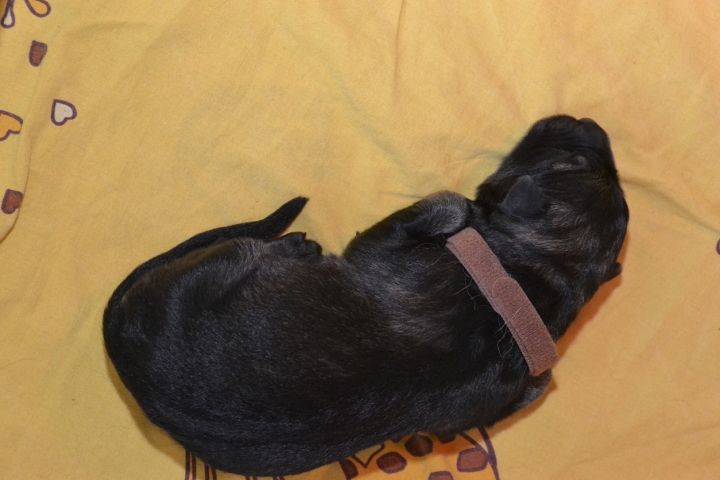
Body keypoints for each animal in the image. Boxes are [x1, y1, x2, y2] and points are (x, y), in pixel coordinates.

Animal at [104, 115, 628, 476]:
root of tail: (129, 369)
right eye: (591, 165)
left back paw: (294, 246)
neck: (535, 273)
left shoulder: (393, 238)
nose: (592, 123)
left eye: (571, 162)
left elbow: (449, 203)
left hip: (230, 257)